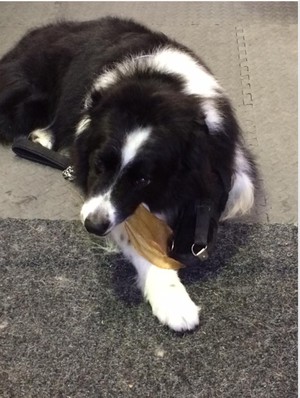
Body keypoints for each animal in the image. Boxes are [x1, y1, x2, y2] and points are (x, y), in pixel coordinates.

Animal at [0, 17, 255, 332]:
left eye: (143, 179)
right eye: (99, 164)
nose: (93, 226)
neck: (158, 89)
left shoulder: (226, 169)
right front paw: (173, 300)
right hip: (27, 98)